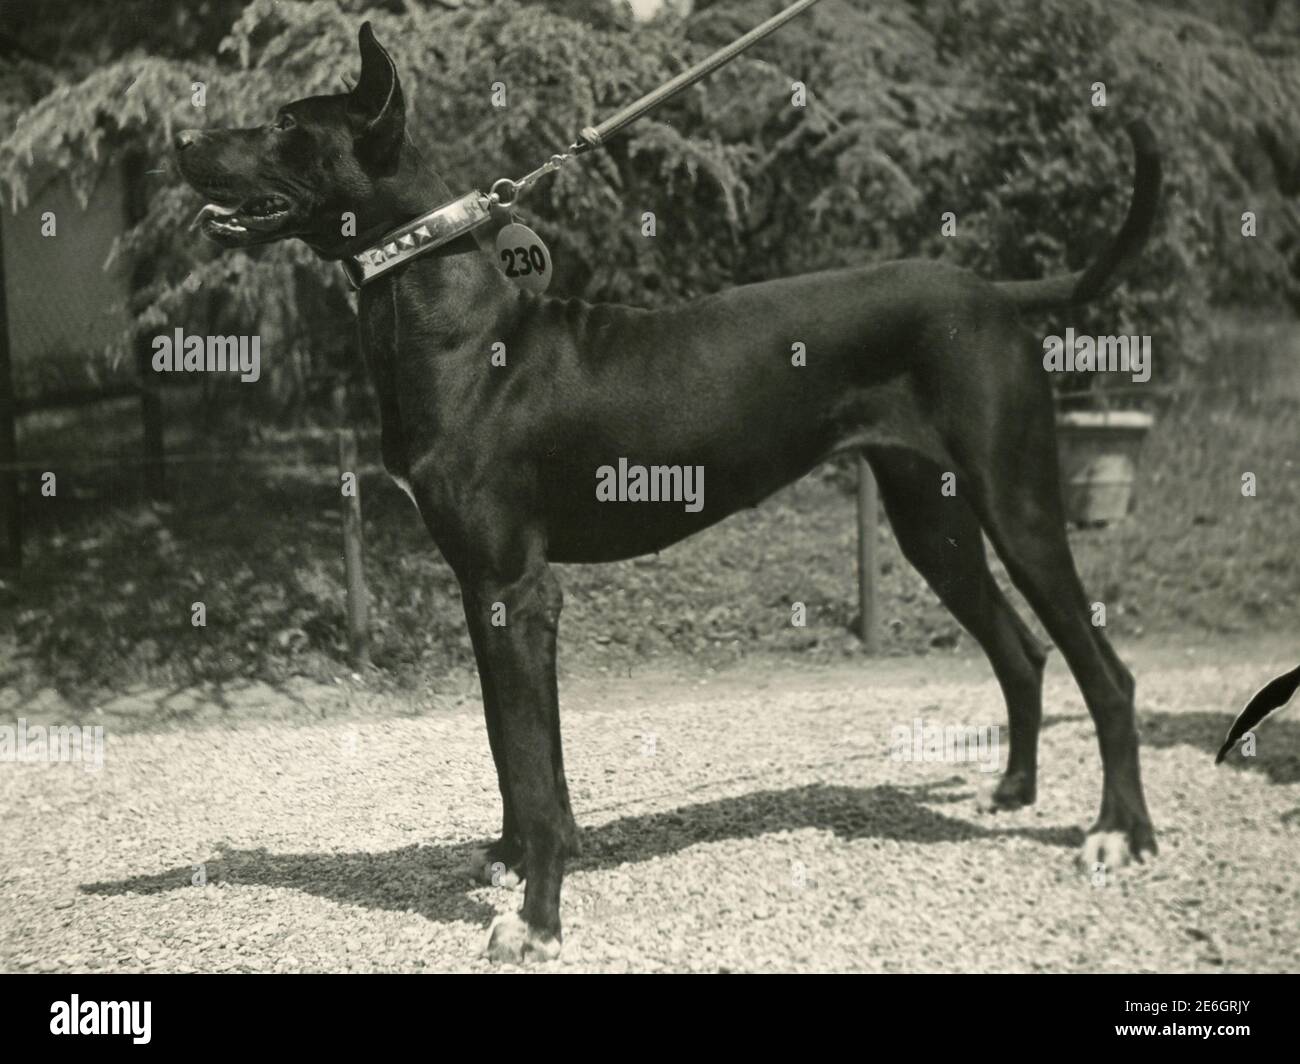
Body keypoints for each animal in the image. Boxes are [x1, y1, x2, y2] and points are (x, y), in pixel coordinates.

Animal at [178, 24, 1164, 957]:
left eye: (284, 123)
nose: (181, 136)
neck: (448, 322)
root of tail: (994, 293)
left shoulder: (517, 587)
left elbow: (528, 763)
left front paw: (537, 921)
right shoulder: (481, 589)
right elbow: (513, 747)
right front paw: (517, 860)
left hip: (1016, 502)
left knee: (1107, 671)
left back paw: (1120, 834)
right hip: (933, 519)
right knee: (1021, 650)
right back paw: (1015, 789)